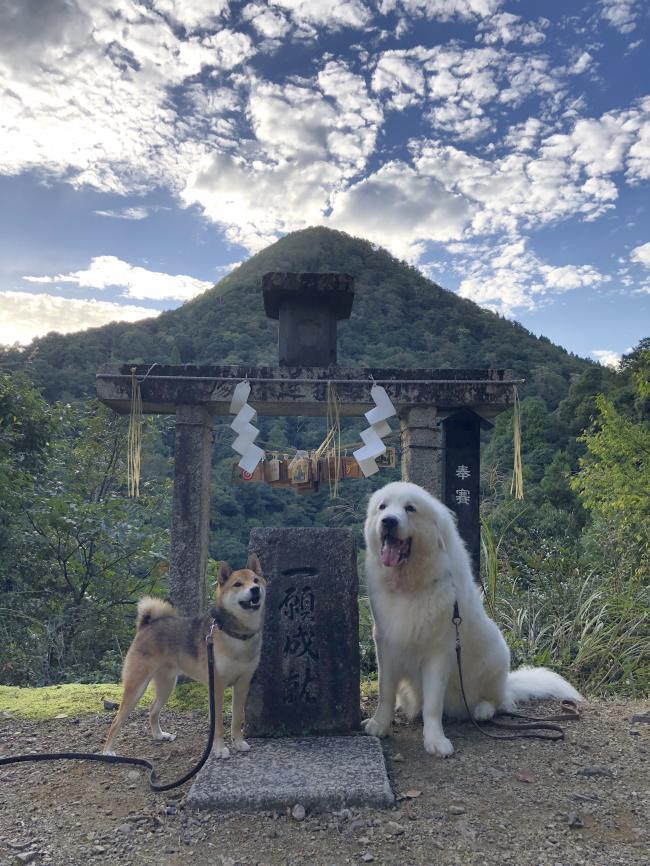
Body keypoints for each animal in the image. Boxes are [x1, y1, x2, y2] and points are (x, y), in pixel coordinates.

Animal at [362, 480, 580, 756]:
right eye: (382, 507)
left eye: (410, 508)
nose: (388, 521)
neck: (410, 587)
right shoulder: (387, 644)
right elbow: (385, 691)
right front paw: (380, 724)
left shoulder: (438, 653)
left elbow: (432, 705)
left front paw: (435, 741)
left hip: (496, 656)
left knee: (499, 701)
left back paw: (483, 710)